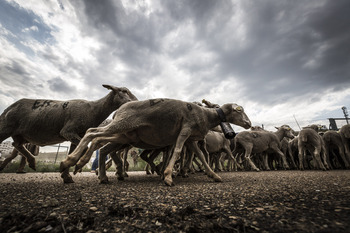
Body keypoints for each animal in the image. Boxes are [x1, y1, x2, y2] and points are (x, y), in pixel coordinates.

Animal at [0, 83, 137, 182]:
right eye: (124, 91)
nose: (136, 101)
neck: (94, 109)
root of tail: (8, 108)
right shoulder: (68, 131)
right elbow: (84, 148)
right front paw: (74, 167)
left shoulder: (77, 134)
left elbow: (74, 151)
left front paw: (66, 175)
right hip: (6, 128)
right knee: (14, 144)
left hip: (20, 134)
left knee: (16, 144)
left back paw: (32, 161)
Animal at [60, 98, 252, 186]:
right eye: (239, 110)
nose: (249, 124)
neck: (206, 115)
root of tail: (119, 110)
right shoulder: (185, 130)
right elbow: (177, 151)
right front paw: (167, 175)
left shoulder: (190, 139)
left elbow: (201, 157)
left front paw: (213, 175)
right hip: (121, 125)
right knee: (91, 133)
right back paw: (71, 162)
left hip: (123, 134)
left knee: (99, 141)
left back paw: (99, 174)